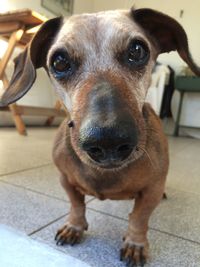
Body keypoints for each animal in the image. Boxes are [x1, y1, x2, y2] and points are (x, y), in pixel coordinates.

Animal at [0, 7, 199, 267]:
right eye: (59, 61)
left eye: (137, 50)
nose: (108, 141)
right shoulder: (66, 180)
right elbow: (76, 205)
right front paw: (74, 227)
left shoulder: (150, 192)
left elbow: (139, 217)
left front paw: (135, 243)